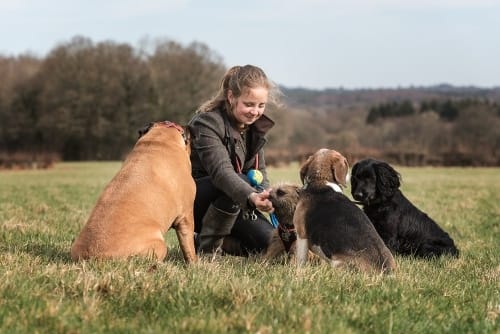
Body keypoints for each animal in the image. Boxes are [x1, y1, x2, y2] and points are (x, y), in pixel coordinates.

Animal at [71, 120, 198, 264]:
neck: (161, 137)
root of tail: (93, 257)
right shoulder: (186, 216)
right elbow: (189, 247)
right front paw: (194, 263)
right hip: (160, 245)